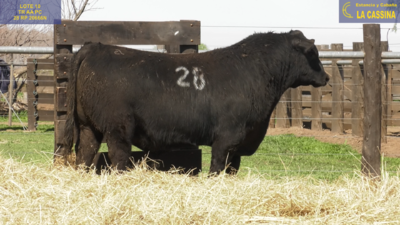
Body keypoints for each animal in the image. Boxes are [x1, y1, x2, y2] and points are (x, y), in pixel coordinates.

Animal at [61, 29, 328, 174]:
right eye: (313, 53)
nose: (325, 77)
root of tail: (96, 47)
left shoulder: (238, 147)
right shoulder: (226, 139)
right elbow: (216, 169)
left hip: (88, 127)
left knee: (84, 155)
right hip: (118, 129)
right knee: (117, 157)